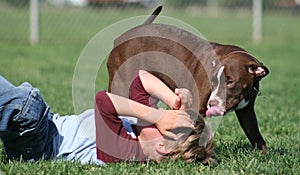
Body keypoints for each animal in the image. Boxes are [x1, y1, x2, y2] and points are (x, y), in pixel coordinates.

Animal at [106, 6, 268, 152]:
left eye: (230, 82)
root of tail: (120, 39)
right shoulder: (194, 107)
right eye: (213, 82)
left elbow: (256, 137)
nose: (212, 103)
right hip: (120, 85)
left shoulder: (247, 112)